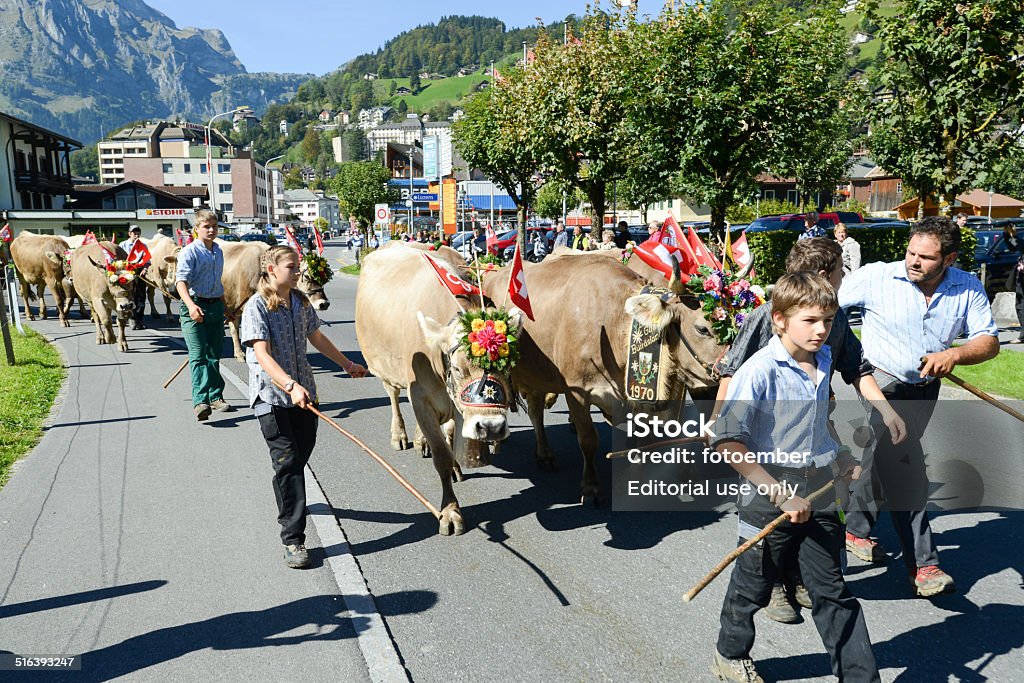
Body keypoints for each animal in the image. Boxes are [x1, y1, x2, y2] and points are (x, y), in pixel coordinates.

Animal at [356, 242, 524, 536]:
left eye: (507, 365)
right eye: (457, 368)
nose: (491, 428)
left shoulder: (460, 404)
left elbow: (451, 437)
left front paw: (456, 465)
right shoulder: (421, 397)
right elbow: (441, 456)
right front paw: (450, 512)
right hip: (386, 370)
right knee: (393, 396)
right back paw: (400, 434)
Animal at [481, 253, 729, 505]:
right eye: (702, 329)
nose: (729, 367)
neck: (613, 327)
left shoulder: (644, 394)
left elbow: (650, 437)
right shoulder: (576, 391)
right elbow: (588, 439)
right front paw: (591, 487)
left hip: (537, 375)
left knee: (535, 410)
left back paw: (544, 454)